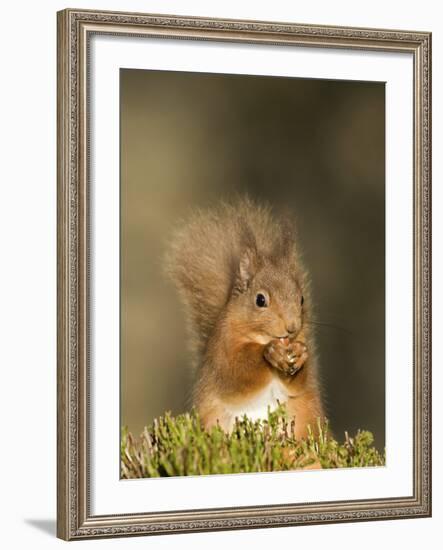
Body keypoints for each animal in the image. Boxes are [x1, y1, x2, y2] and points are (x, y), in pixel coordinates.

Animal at [165, 198, 324, 440]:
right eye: (260, 300)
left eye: (302, 299)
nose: (292, 327)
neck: (259, 336)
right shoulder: (221, 354)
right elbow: (236, 375)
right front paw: (268, 352)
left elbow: (298, 385)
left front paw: (299, 353)